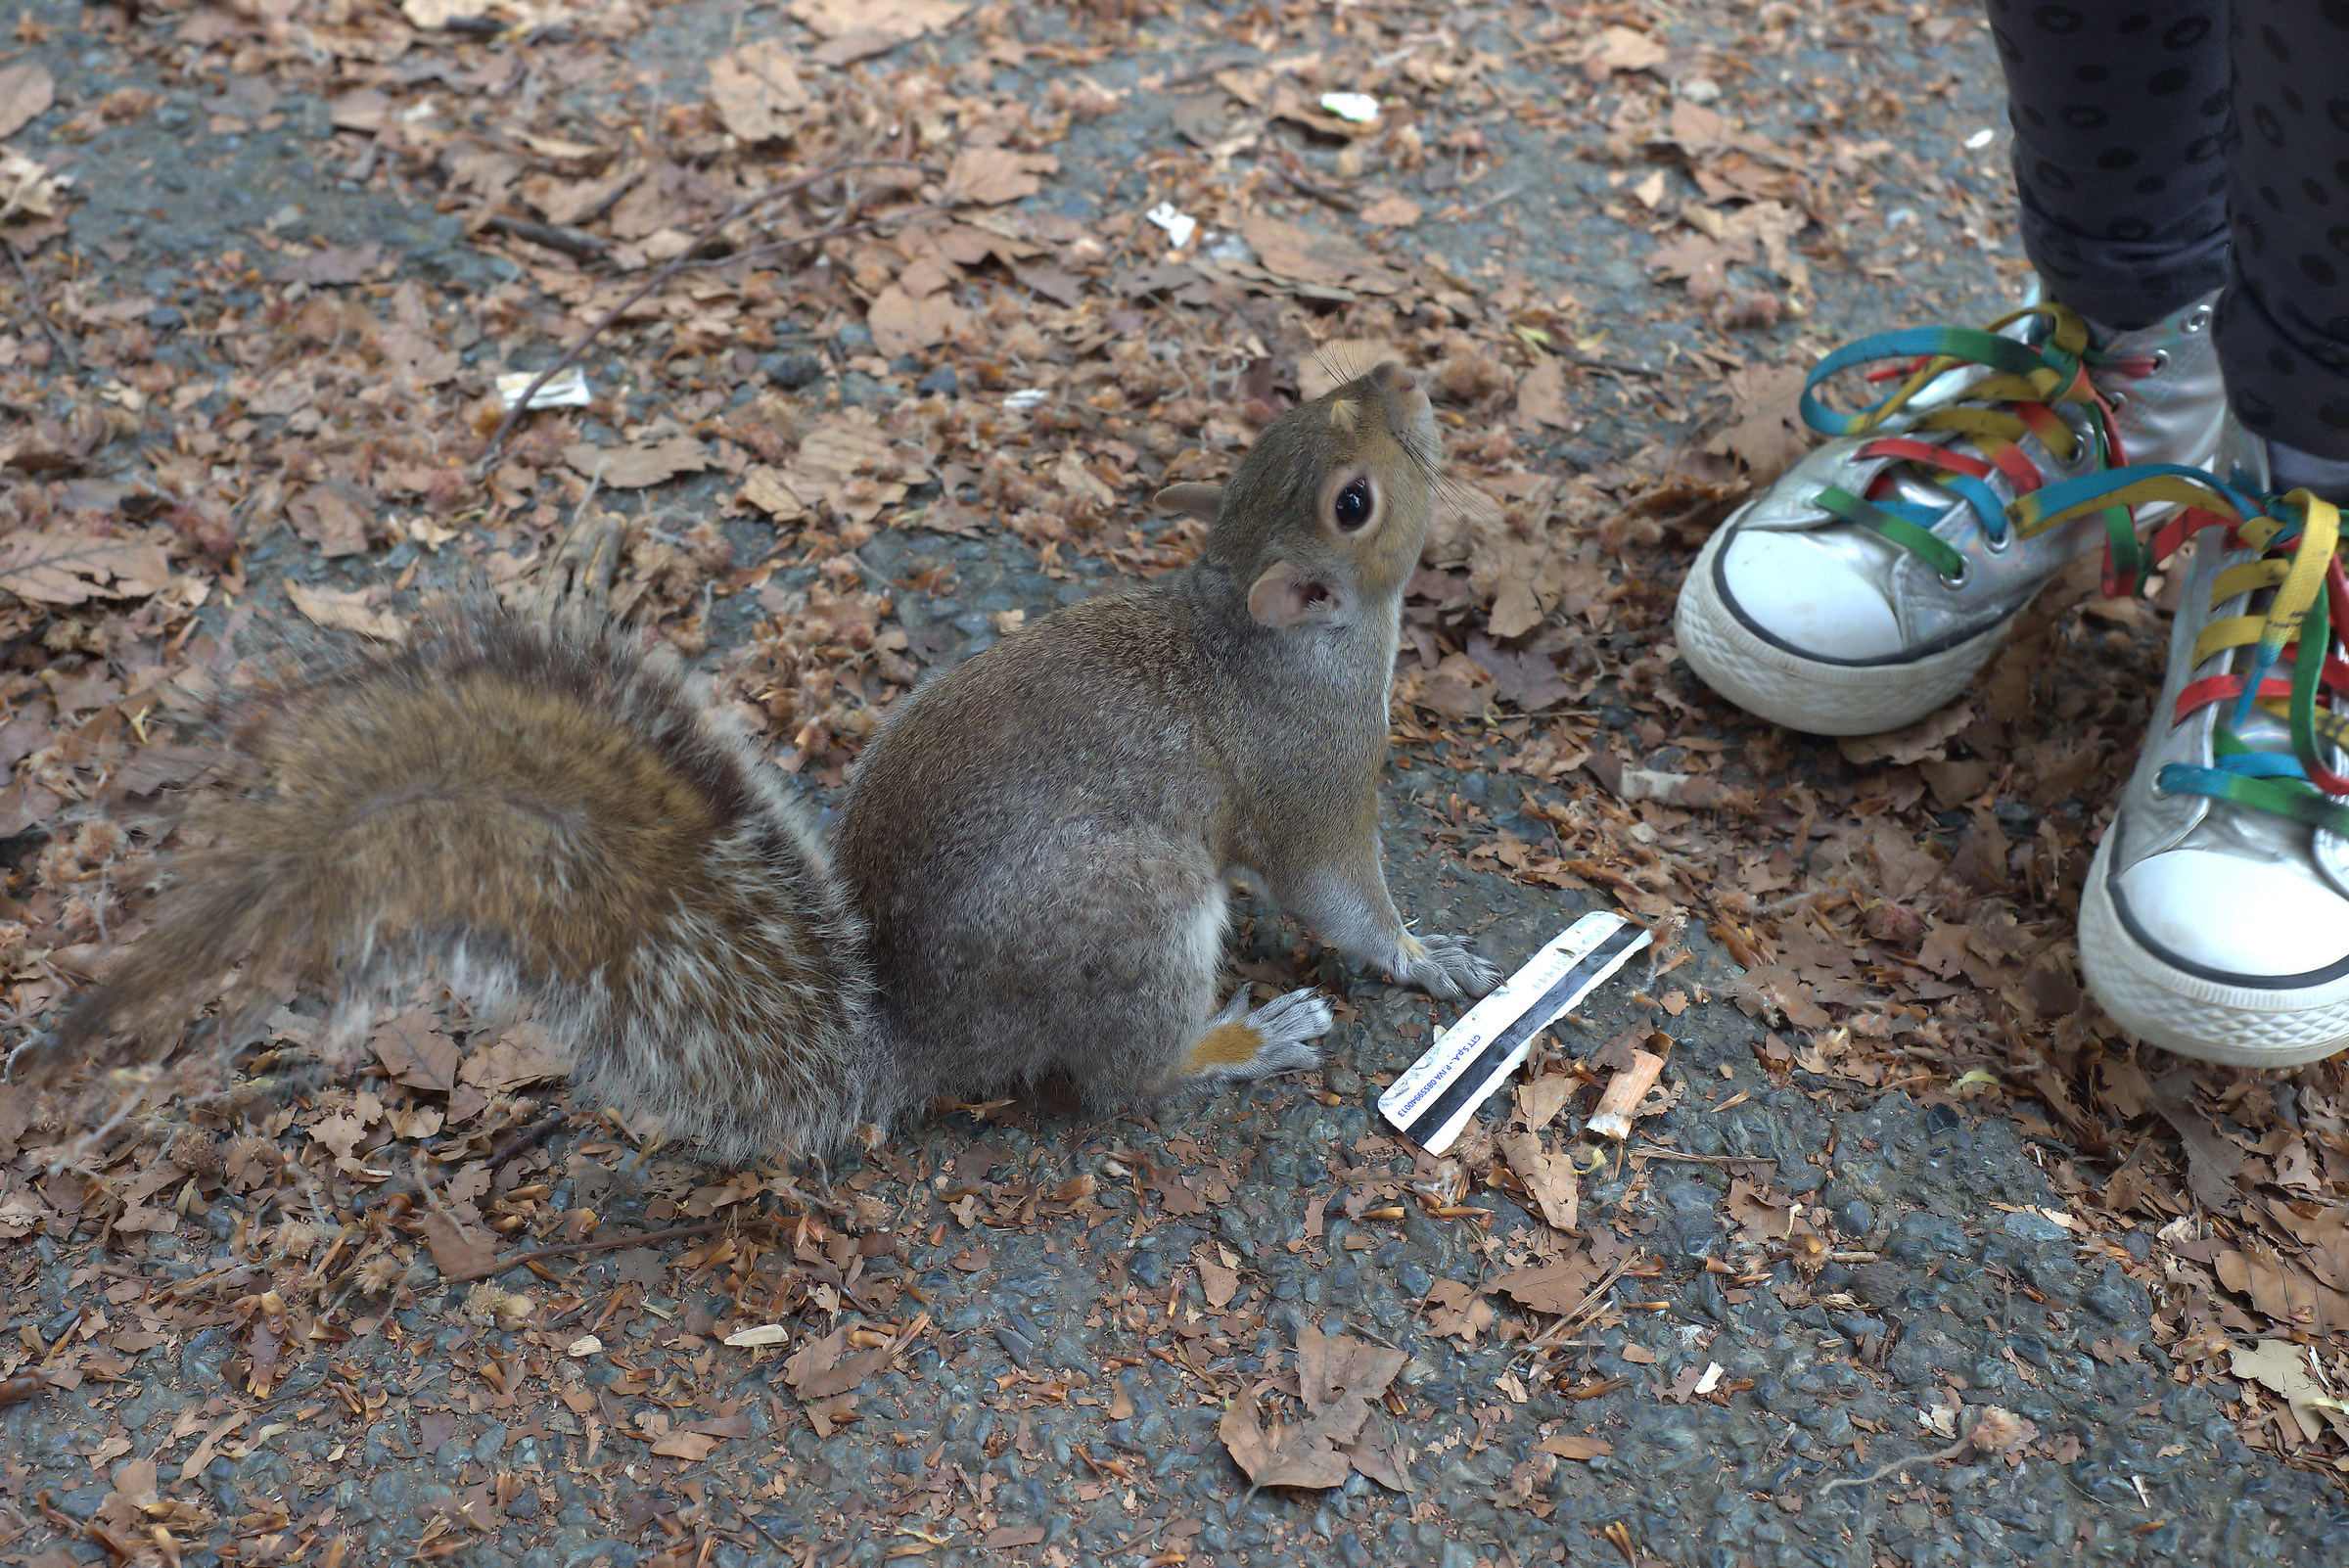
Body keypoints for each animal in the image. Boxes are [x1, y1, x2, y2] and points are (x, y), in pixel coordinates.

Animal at [41, 360, 1499, 1162]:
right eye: (1355, 502)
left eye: (1294, 422)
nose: (1408, 375)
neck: (1257, 634)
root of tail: (923, 1040)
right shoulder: (1313, 781)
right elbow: (1337, 898)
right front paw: (1429, 959)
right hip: (1135, 913)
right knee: (1116, 1077)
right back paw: (1238, 1043)